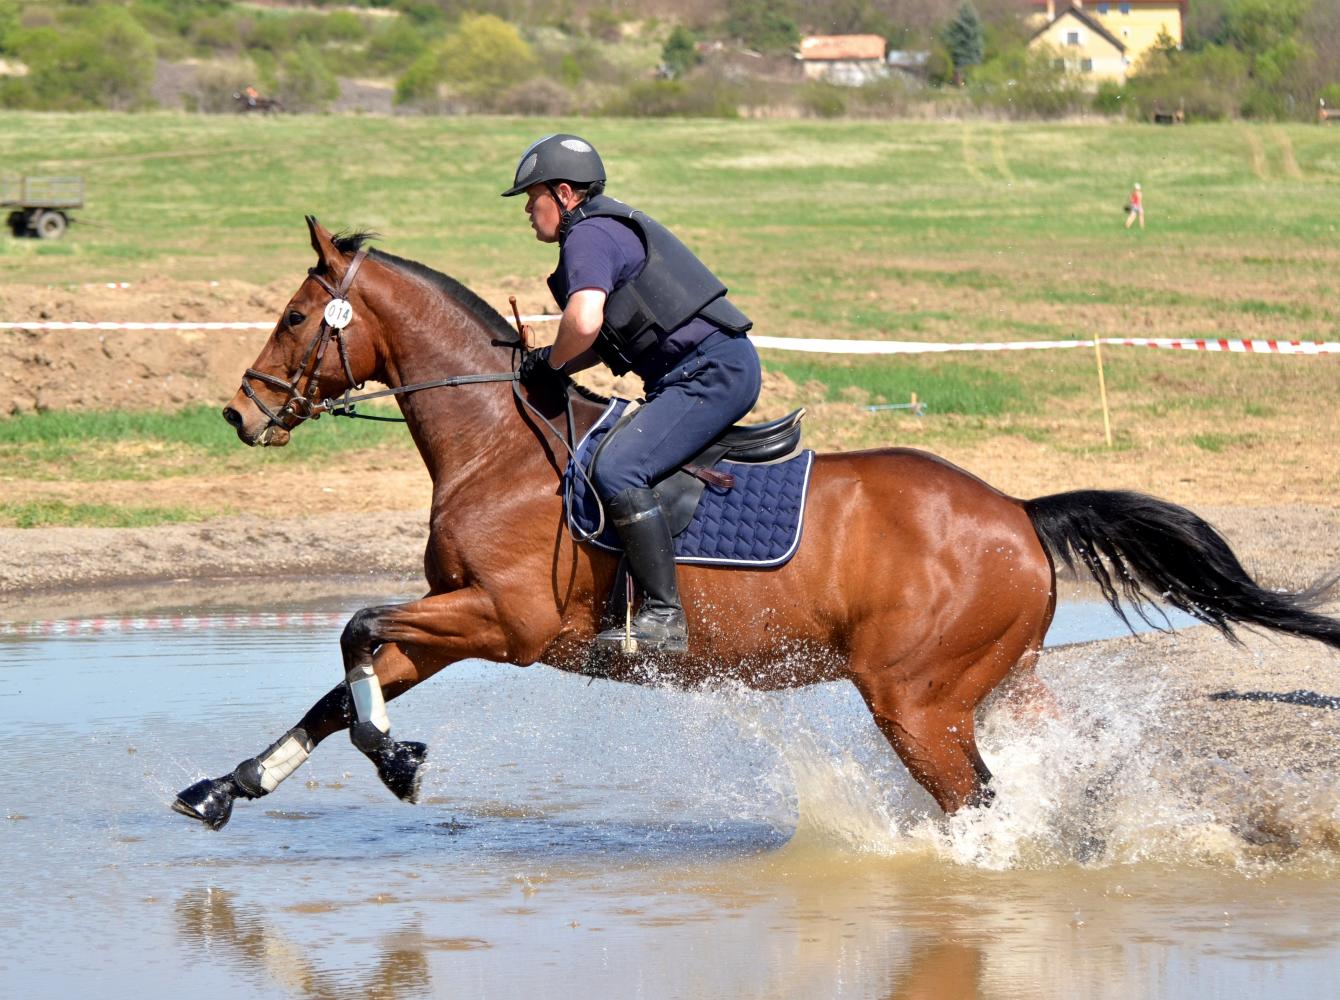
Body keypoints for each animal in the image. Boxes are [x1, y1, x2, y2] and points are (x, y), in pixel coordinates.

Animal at [172, 215, 1334, 825]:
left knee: (976, 803)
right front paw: (228, 786)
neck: (499, 445)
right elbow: (337, 689)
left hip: (918, 704)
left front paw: (398, 760)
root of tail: (1015, 512)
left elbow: (354, 633)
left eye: (292, 317)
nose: (241, 412)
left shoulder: (503, 623)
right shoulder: (455, 622)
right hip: (1000, 684)